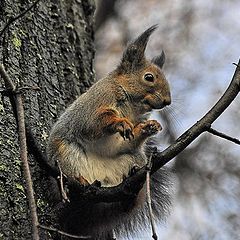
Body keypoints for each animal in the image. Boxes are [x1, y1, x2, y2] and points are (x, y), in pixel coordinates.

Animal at [46, 25, 172, 239]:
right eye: (149, 77)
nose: (167, 101)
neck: (131, 106)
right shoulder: (95, 104)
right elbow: (93, 123)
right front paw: (119, 123)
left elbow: (126, 141)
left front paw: (148, 127)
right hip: (65, 154)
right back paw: (78, 181)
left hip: (134, 159)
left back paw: (130, 191)